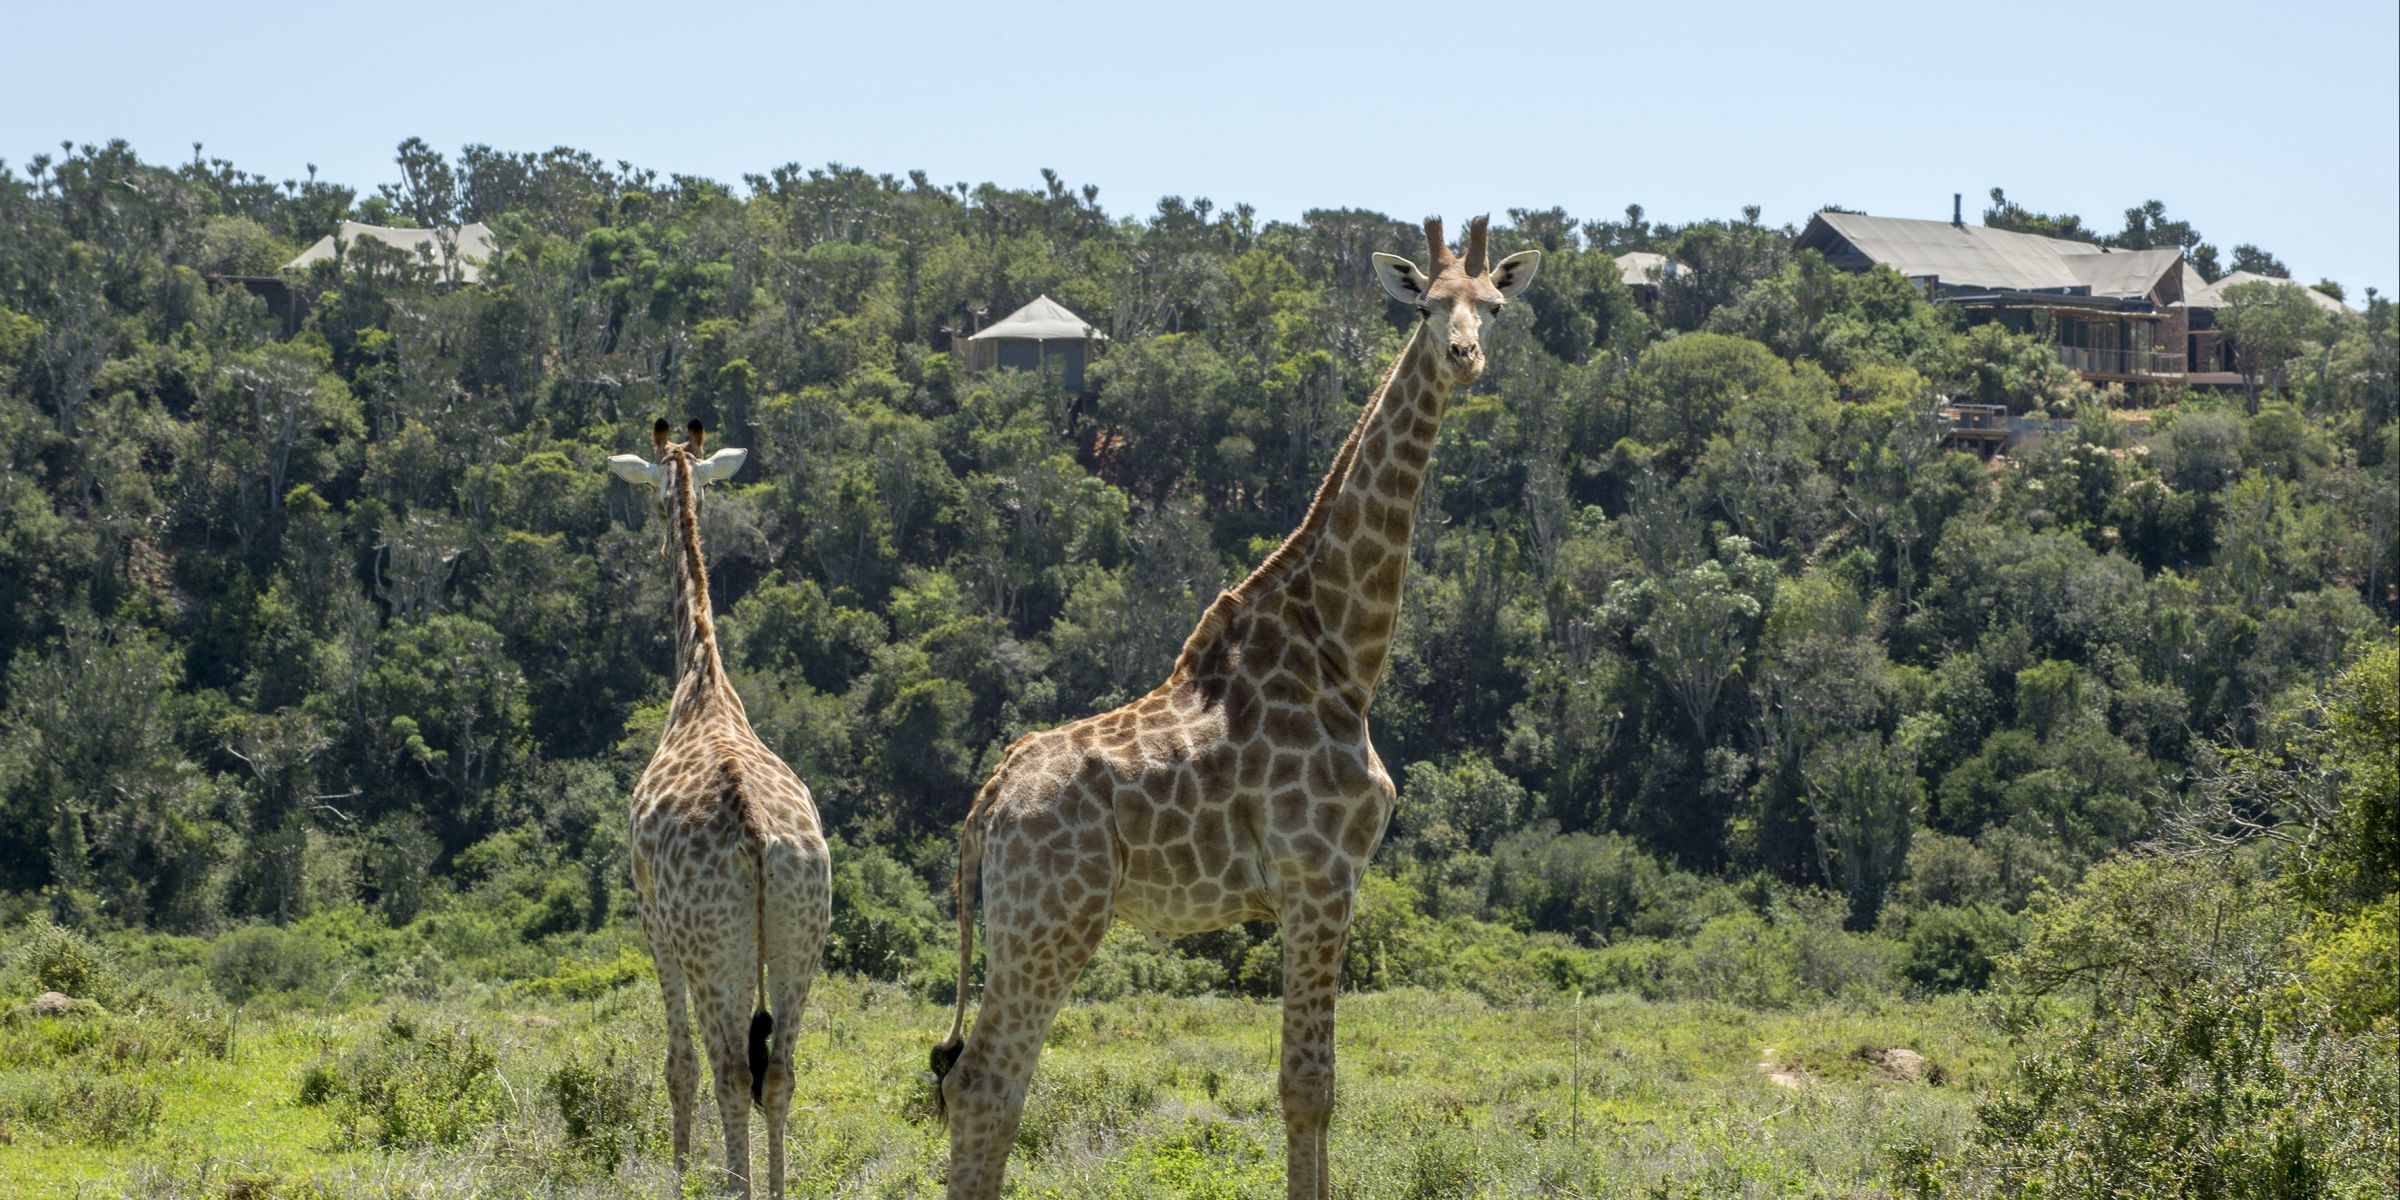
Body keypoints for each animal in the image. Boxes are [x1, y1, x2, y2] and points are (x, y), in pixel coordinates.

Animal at [608, 420, 831, 1199]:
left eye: (650, 492)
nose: (653, 520)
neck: (702, 683)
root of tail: (759, 841)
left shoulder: (650, 916)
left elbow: (677, 1067)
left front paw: (676, 1175)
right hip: (802, 935)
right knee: (783, 1072)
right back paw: (777, 1189)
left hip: (711, 947)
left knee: (731, 1071)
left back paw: (736, 1187)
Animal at [929, 217, 1539, 1199]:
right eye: (1424, 307)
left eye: (1492, 307)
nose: (1464, 357)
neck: (1342, 654)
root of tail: (986, 808)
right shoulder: (1320, 877)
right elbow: (1308, 1086)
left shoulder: (1319, 888)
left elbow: (1314, 1085)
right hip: (1052, 924)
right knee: (984, 1083)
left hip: (1027, 926)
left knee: (978, 1084)